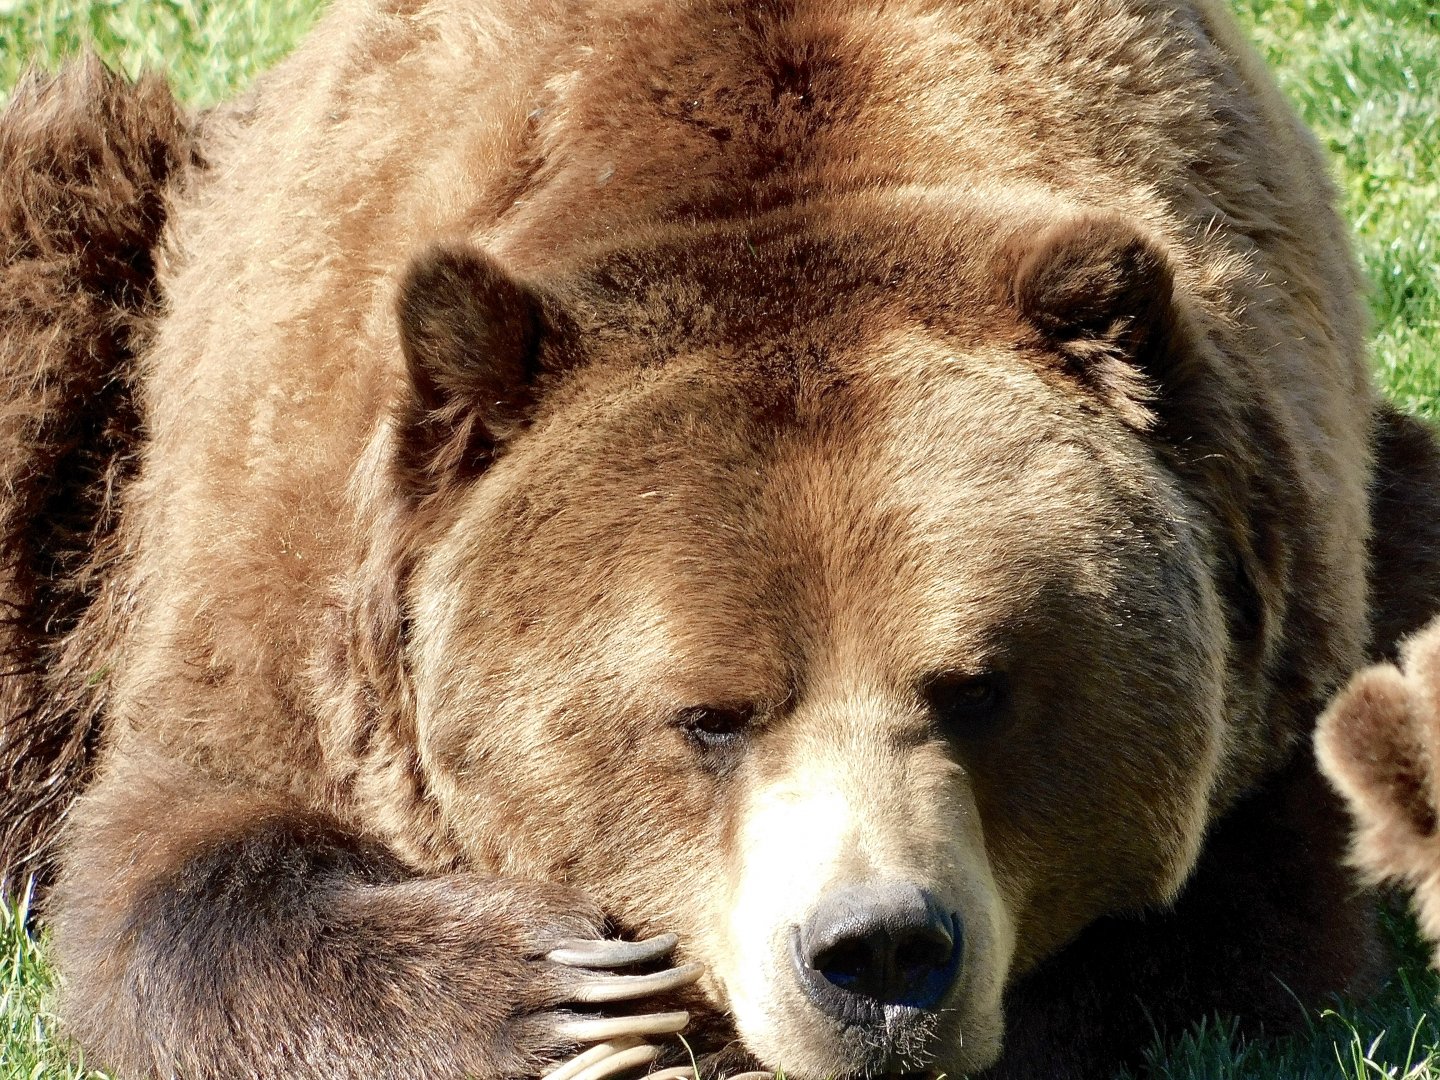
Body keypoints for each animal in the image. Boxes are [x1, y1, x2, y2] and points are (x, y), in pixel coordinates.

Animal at [3, 2, 1439, 1079]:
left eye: (978, 688)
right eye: (709, 715)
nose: (881, 953)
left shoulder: (1290, 607)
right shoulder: (292, 565)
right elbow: (175, 863)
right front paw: (564, 993)